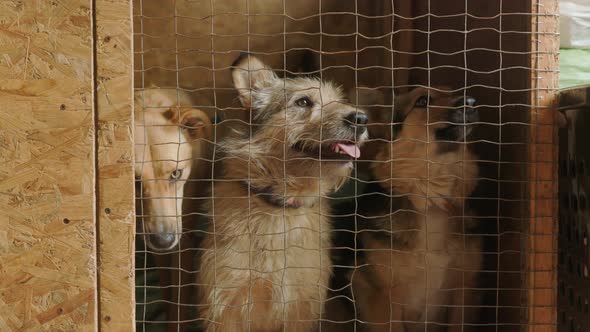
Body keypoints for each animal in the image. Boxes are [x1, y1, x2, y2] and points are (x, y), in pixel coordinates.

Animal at [197, 53, 368, 330]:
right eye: (304, 101)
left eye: (339, 100)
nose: (361, 119)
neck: (280, 206)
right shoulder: (225, 306)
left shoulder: (302, 306)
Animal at [328, 87, 486, 332]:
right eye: (422, 101)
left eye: (452, 91)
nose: (470, 101)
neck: (429, 197)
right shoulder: (383, 299)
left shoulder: (465, 291)